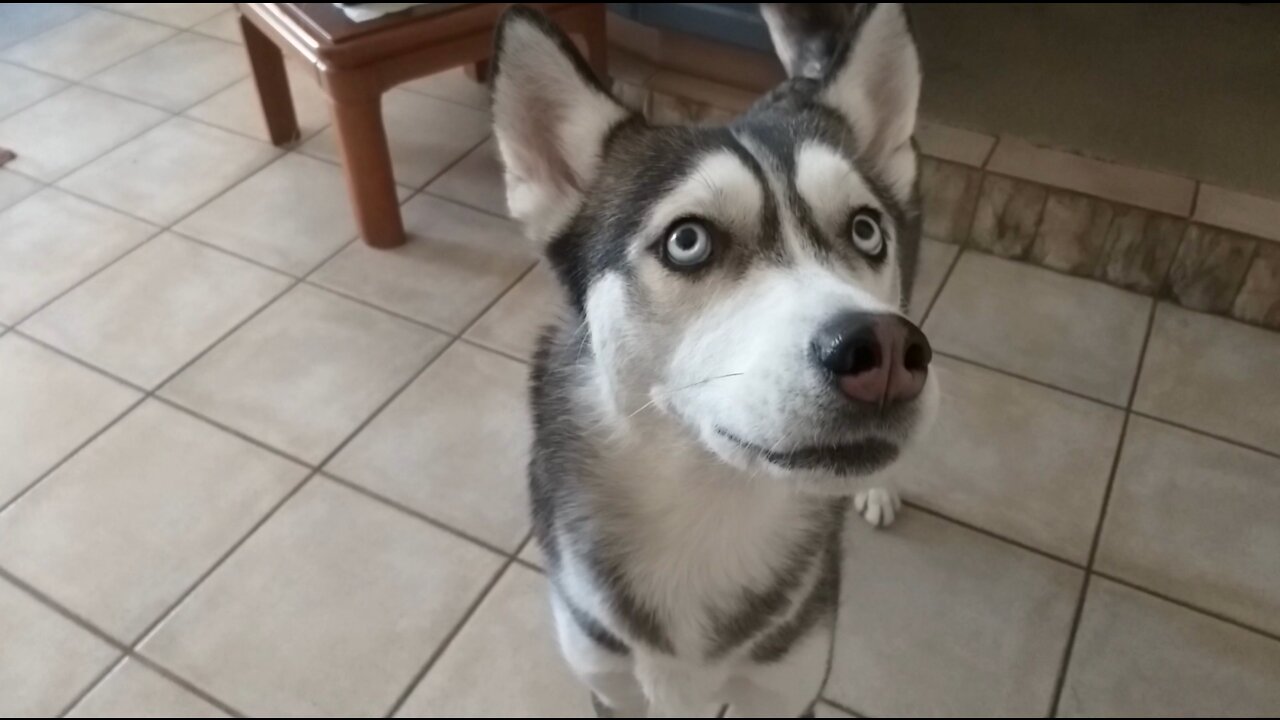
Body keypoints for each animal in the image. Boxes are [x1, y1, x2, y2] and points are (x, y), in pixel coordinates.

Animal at [488, 4, 942, 712]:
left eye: (866, 229)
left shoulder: (785, 688)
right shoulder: (608, 680)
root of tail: (810, 77)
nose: (887, 350)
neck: (708, 507)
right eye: (688, 241)